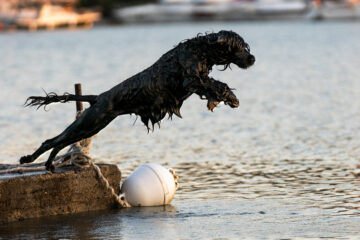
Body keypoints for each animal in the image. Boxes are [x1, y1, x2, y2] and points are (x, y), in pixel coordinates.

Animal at [20, 30, 256, 172]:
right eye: (239, 47)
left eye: (246, 47)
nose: (252, 58)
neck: (201, 50)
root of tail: (98, 97)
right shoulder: (192, 80)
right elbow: (216, 85)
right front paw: (231, 98)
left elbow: (214, 86)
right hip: (86, 123)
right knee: (51, 141)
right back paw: (29, 159)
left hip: (91, 126)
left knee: (58, 143)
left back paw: (48, 164)